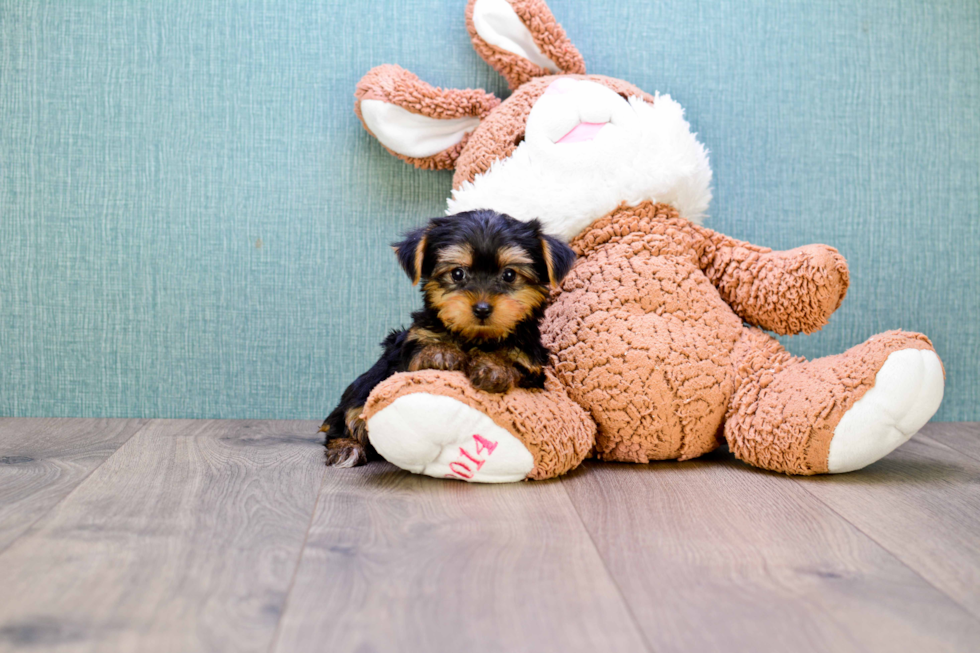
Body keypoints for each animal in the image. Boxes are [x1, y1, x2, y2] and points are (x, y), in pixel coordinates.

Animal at [326, 206, 580, 466]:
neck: (475, 338)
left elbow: (515, 366)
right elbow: (420, 350)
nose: (482, 308)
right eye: (457, 273)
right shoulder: (408, 347)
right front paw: (441, 353)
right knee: (345, 417)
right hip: (363, 389)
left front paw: (494, 367)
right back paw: (346, 447)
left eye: (509, 275)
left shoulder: (531, 364)